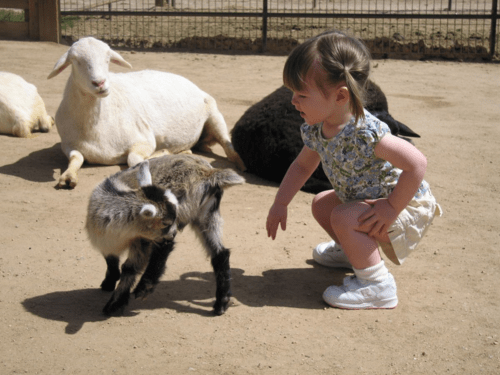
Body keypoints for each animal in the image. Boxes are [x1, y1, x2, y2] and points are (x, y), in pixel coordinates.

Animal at [47, 37, 247, 189]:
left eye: (107, 59)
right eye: (76, 61)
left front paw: (163, 153)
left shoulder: (144, 139)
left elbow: (135, 160)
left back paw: (241, 165)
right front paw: (68, 177)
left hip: (214, 115)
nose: (100, 83)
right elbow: (76, 158)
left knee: (228, 146)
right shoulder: (69, 145)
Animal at [86, 154, 246, 316]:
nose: (174, 231)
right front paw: (109, 283)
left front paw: (114, 304)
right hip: (205, 215)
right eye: (165, 222)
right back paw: (221, 303)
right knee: (220, 254)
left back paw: (144, 288)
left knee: (165, 248)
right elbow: (110, 260)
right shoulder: (106, 242)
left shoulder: (142, 240)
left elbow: (130, 268)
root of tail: (207, 173)